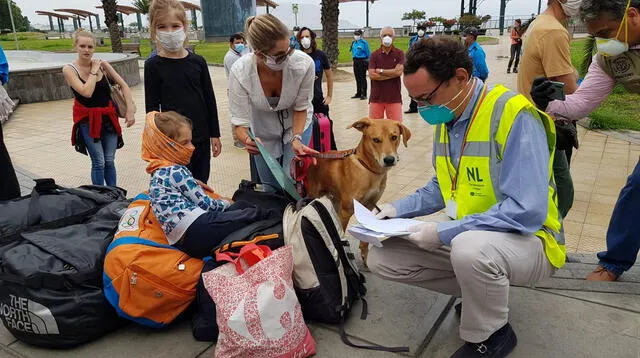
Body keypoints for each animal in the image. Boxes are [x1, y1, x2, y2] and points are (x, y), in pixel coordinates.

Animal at [304, 117, 410, 262]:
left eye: (394, 137)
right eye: (375, 140)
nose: (389, 159)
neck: (369, 170)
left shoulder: (369, 205)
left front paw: (365, 255)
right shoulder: (346, 211)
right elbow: (342, 234)